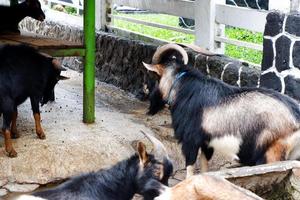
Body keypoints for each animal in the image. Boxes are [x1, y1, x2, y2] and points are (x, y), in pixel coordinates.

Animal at [142, 43, 300, 178]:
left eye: (155, 76)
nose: (149, 102)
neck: (182, 88)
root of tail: (296, 117)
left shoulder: (190, 141)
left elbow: (190, 168)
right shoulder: (207, 143)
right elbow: (204, 167)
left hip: (272, 152)